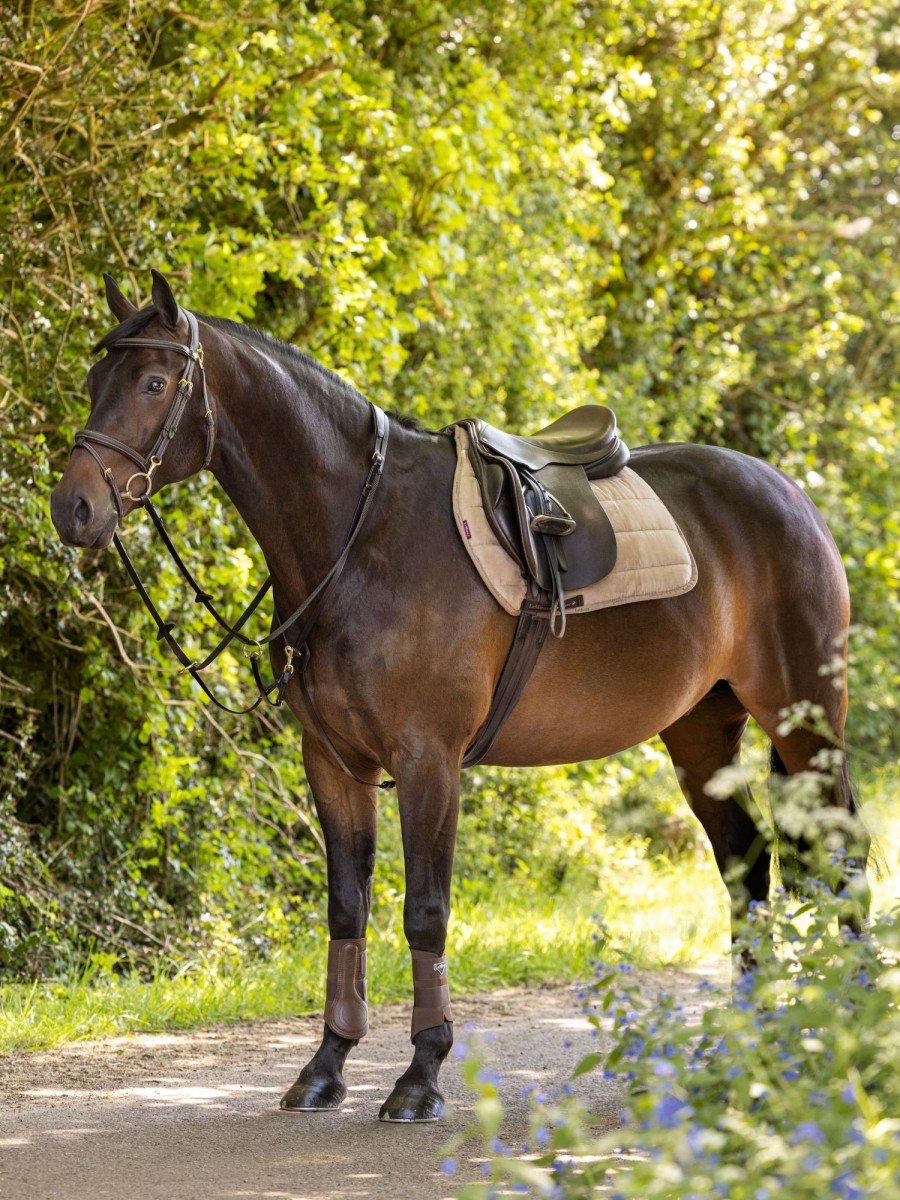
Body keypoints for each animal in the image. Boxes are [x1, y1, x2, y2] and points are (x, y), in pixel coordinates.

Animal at [51, 272, 873, 1123]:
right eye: (95, 380)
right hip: (702, 730)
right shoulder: (334, 763)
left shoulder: (427, 760)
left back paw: (845, 1034)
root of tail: (789, 493)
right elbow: (347, 907)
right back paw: (746, 1048)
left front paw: (420, 1075)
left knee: (843, 854)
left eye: (153, 383)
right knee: (745, 862)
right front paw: (326, 1066)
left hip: (805, 717)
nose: (73, 508)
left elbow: (425, 910)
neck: (359, 538)